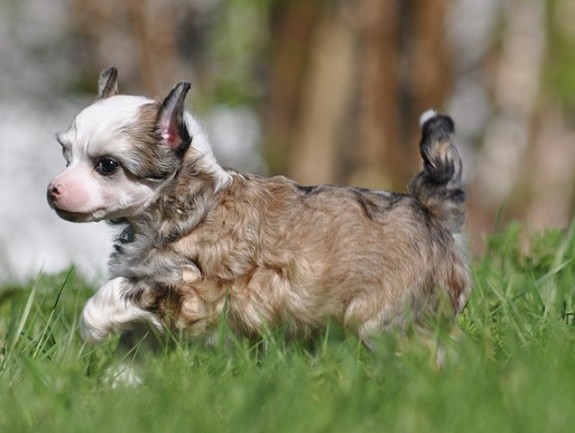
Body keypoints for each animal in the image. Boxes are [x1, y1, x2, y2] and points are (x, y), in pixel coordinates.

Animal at [47, 66, 470, 344]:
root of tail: (429, 209)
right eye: (66, 155)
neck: (184, 202)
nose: (53, 189)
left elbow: (114, 295)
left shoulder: (188, 289)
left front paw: (92, 329)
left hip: (389, 312)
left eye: (106, 165)